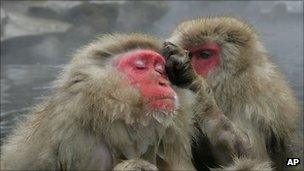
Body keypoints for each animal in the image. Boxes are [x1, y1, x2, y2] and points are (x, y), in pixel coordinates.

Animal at [164, 15, 302, 170]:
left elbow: (253, 156)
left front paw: (193, 83)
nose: (195, 68)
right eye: (189, 52)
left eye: (204, 55)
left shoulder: (253, 98)